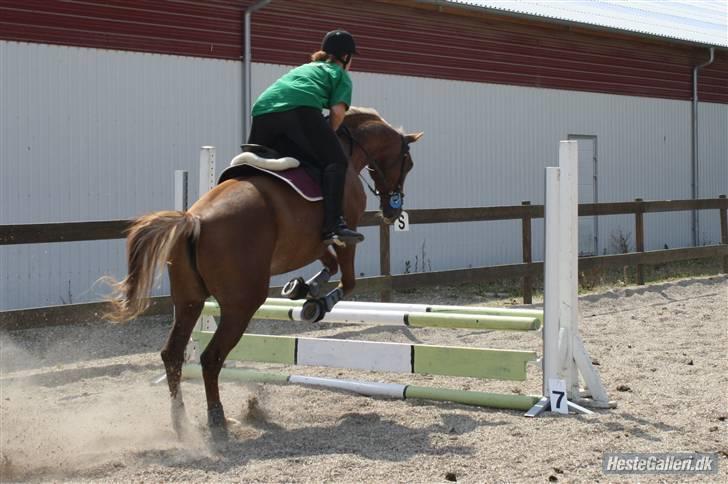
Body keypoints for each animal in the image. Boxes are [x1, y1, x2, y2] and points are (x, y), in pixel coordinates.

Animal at [104, 108, 420, 440]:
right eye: (408, 163)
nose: (392, 211)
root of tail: (194, 219)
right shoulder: (345, 235)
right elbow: (347, 280)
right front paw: (318, 303)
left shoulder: (308, 243)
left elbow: (328, 266)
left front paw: (301, 288)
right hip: (241, 305)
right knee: (211, 357)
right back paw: (217, 420)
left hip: (189, 300)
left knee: (173, 354)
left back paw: (182, 423)